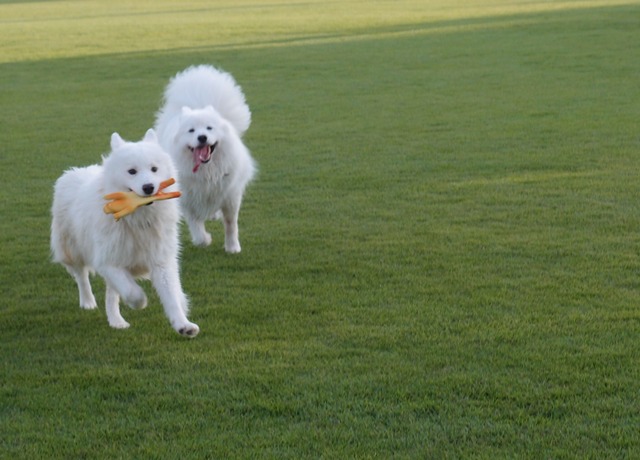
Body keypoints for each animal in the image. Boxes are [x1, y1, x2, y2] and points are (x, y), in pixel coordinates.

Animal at [50, 129, 200, 338]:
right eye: (132, 171)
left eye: (154, 169)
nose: (148, 187)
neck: (137, 218)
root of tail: (73, 171)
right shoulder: (108, 262)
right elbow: (131, 291)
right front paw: (140, 301)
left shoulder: (161, 261)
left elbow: (171, 298)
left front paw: (183, 325)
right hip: (72, 250)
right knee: (82, 277)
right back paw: (88, 302)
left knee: (110, 295)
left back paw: (116, 321)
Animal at [154, 64, 255, 252]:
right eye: (191, 131)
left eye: (209, 128)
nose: (202, 137)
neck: (207, 170)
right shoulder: (188, 198)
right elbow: (195, 223)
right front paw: (204, 240)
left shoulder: (230, 195)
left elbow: (231, 224)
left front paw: (232, 247)